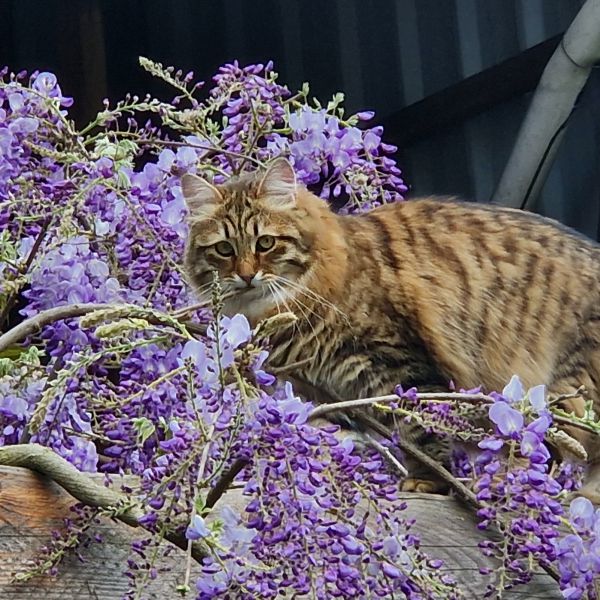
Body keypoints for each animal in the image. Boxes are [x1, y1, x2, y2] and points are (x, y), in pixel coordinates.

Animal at [180, 156, 600, 502]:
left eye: (265, 243)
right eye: (224, 250)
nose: (246, 276)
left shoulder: (399, 365)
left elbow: (421, 429)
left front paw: (430, 480)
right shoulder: (325, 389)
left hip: (568, 395)